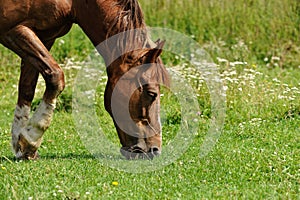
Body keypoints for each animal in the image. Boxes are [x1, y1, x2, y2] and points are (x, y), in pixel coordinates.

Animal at [0, 0, 169, 159]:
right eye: (152, 94)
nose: (154, 150)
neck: (74, 3)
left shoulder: (43, 36)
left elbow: (27, 88)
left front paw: (22, 145)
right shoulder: (14, 30)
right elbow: (55, 76)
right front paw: (31, 140)